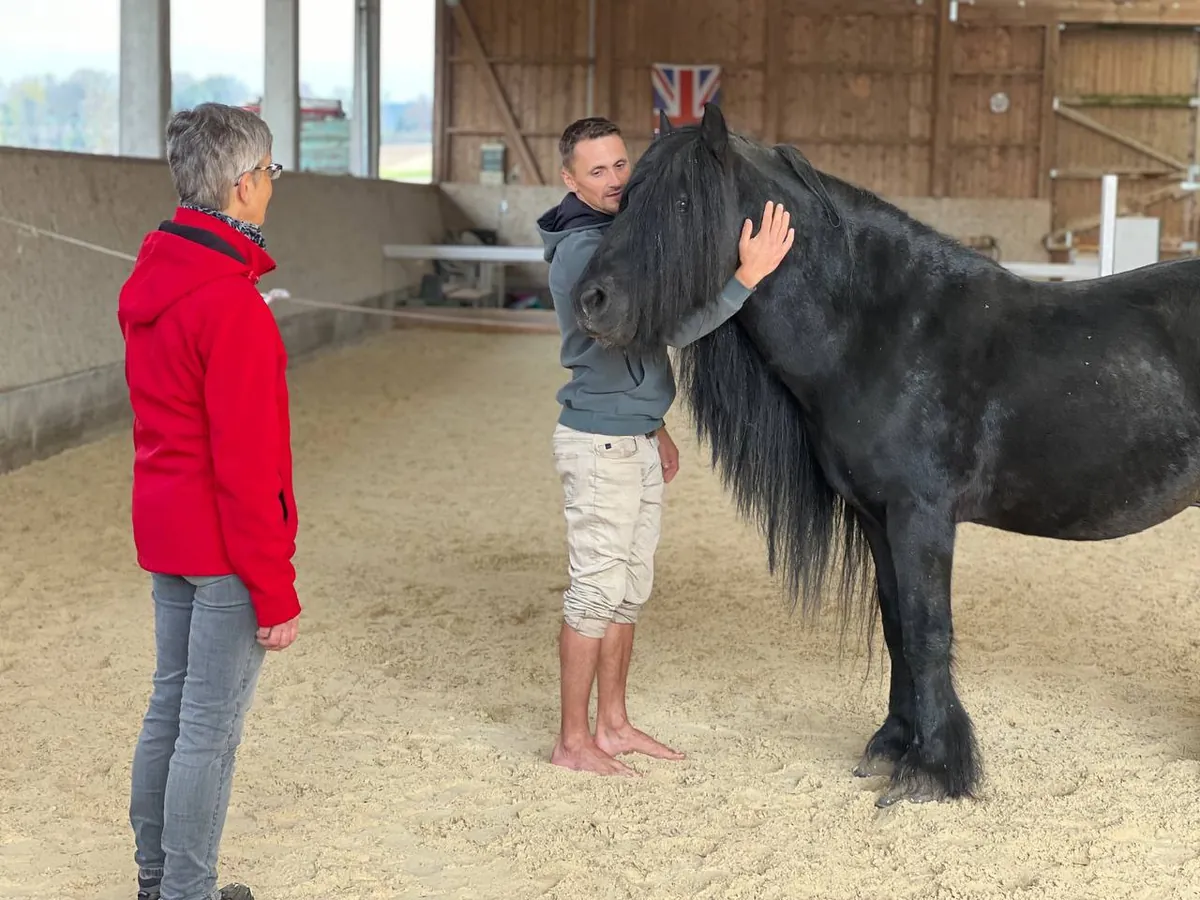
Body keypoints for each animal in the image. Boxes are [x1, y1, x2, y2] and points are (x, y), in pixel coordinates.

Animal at [569, 102, 1200, 808]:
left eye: (681, 202)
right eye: (623, 197)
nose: (591, 302)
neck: (885, 329)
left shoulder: (920, 517)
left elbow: (928, 632)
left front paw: (935, 770)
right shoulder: (877, 518)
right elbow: (897, 626)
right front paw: (895, 746)